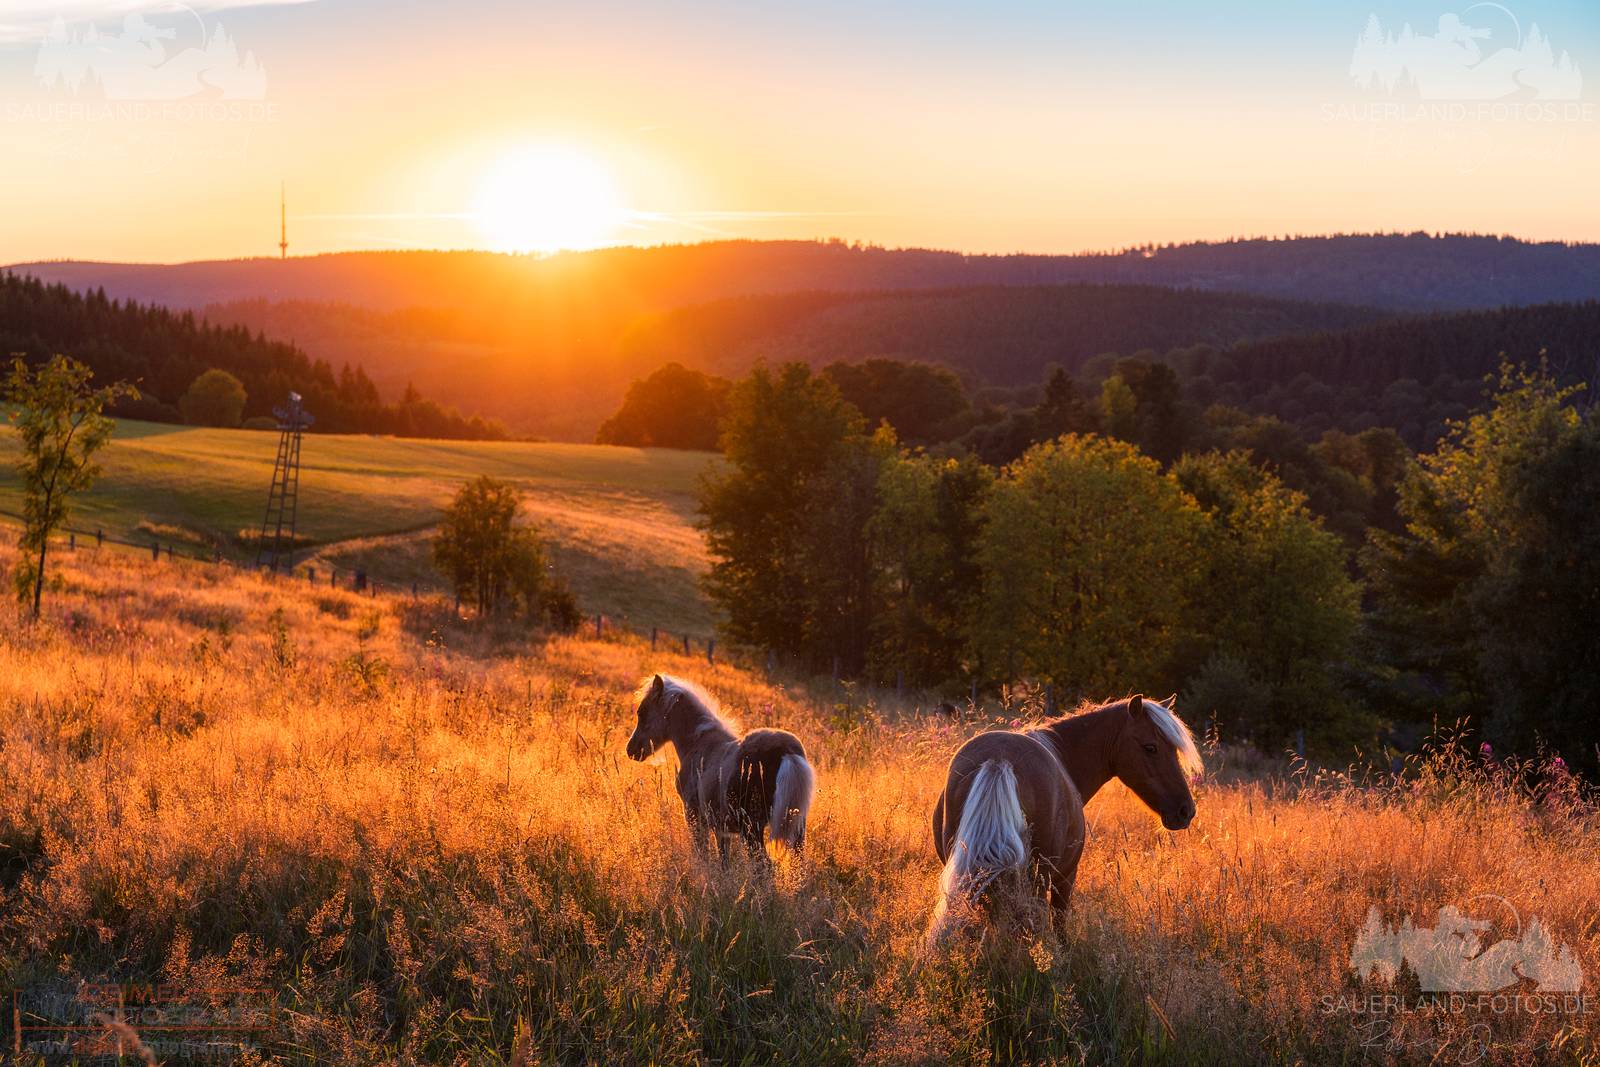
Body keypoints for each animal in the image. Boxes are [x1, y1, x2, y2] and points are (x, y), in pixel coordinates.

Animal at [617, 675, 812, 857]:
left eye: (642, 712)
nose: (631, 750)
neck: (699, 743)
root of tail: (787, 752)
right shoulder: (721, 828)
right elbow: (723, 859)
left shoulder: (694, 815)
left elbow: (703, 853)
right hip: (796, 829)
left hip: (752, 828)